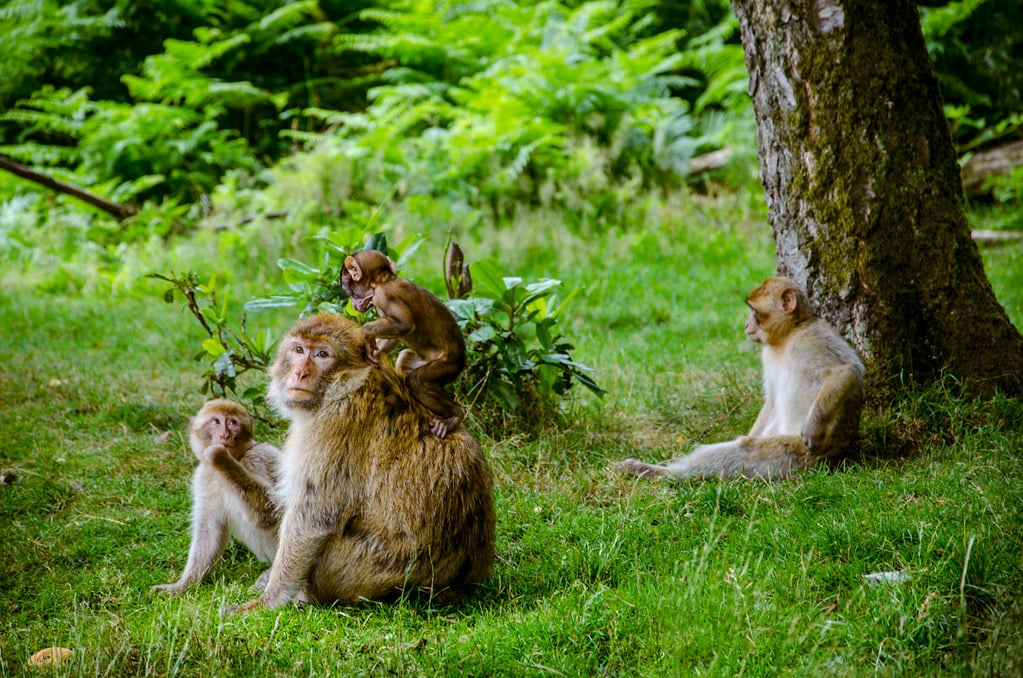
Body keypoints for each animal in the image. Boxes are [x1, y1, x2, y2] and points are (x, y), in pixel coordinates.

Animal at [151, 399, 281, 594]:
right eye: (216, 421)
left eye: (233, 423)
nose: (225, 435)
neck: (239, 455)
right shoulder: (204, 475)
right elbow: (210, 528)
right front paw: (184, 585)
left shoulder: (258, 458)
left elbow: (273, 512)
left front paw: (219, 456)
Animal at [222, 312, 495, 615]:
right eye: (299, 350)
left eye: (322, 354)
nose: (300, 373)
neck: (350, 384)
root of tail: (451, 585)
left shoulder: (332, 426)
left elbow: (312, 519)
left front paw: (268, 600)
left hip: (355, 572)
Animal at [341, 249, 467, 438]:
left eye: (346, 286)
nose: (352, 302)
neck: (381, 283)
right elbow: (394, 335)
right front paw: (374, 352)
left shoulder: (384, 295)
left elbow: (404, 325)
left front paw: (363, 333)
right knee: (405, 360)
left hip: (449, 365)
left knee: (418, 382)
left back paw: (455, 416)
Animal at [615, 276, 865, 480]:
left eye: (754, 311)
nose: (746, 324)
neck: (786, 336)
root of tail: (832, 459)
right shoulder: (768, 354)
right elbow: (772, 403)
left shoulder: (811, 339)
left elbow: (848, 370)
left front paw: (813, 429)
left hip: (794, 453)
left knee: (742, 452)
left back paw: (664, 473)